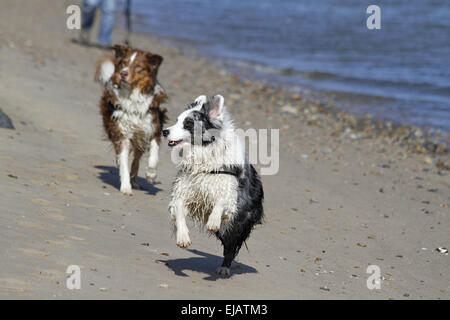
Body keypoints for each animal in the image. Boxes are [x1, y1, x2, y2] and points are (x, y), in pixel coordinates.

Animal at [96, 44, 168, 195]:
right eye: (123, 63)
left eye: (138, 67)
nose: (123, 73)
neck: (132, 95)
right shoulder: (122, 132)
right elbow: (123, 161)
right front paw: (125, 187)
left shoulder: (153, 127)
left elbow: (154, 153)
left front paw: (151, 174)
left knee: (136, 159)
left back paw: (134, 180)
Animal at [163, 95, 264, 276]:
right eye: (177, 120)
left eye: (188, 123)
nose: (164, 131)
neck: (203, 155)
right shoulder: (183, 191)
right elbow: (179, 211)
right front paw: (183, 237)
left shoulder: (230, 196)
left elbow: (221, 202)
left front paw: (213, 221)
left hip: (237, 224)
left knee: (231, 245)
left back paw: (224, 267)